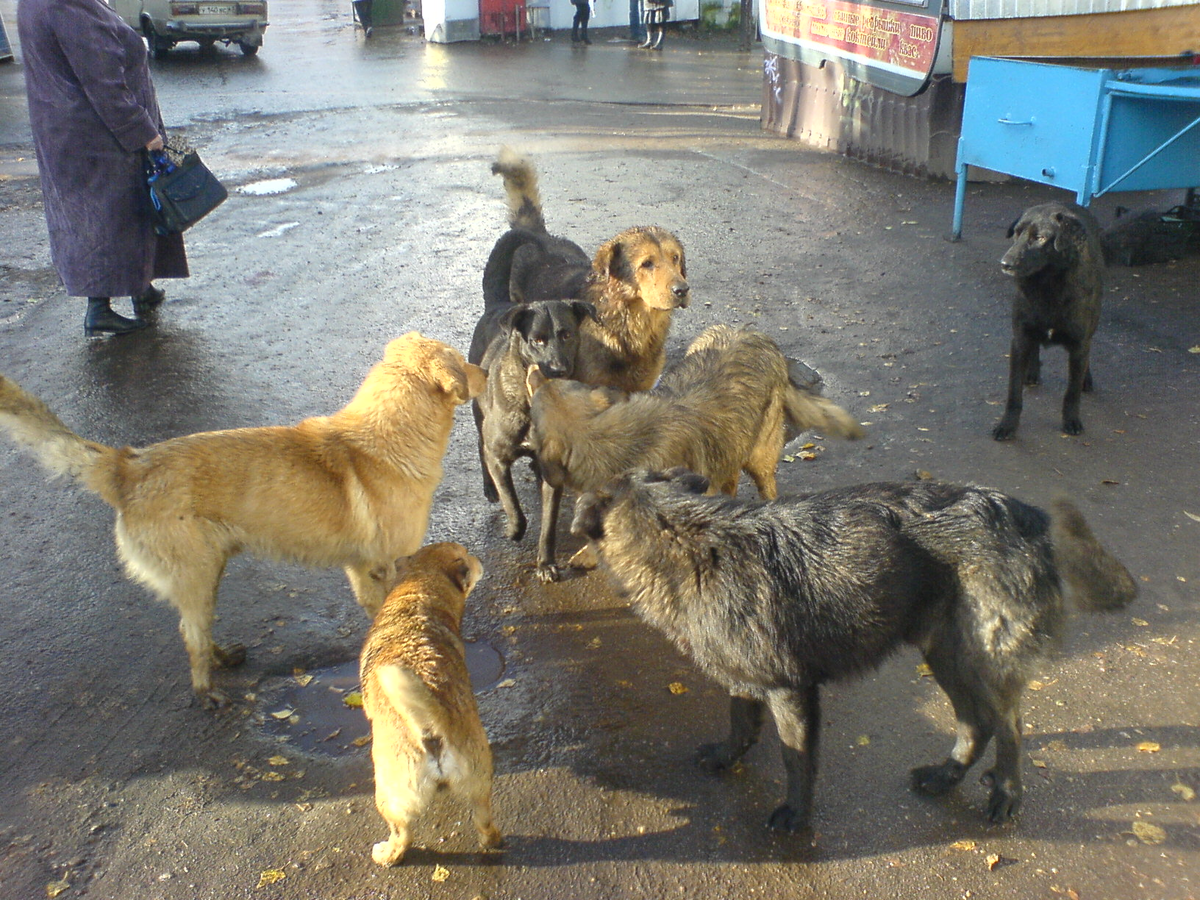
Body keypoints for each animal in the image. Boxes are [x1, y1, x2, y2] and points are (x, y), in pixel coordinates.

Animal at [1, 336, 487, 710]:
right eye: (460, 360)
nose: (483, 368)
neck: (384, 440)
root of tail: (128, 465)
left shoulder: (362, 568)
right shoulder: (379, 568)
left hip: (207, 571)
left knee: (195, 626)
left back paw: (221, 658)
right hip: (197, 572)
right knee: (191, 636)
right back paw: (206, 692)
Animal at [360, 542, 501, 868]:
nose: (478, 557)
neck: (419, 593)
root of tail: (430, 727)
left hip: (388, 796)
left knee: (402, 836)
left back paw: (386, 855)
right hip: (479, 782)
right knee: (484, 822)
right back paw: (492, 840)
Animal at [470, 303, 597, 554]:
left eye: (567, 335)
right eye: (537, 340)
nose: (559, 370)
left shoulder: (553, 470)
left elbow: (549, 523)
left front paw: (546, 560)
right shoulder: (498, 458)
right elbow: (512, 504)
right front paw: (514, 531)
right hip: (479, 412)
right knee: (480, 444)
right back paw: (489, 487)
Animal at [571, 468, 1132, 844]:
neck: (688, 537)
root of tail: (1026, 516)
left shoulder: (790, 690)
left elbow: (796, 759)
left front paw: (796, 815)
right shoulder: (744, 678)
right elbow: (740, 722)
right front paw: (728, 756)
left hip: (979, 658)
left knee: (1010, 727)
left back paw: (1006, 794)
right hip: (944, 655)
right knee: (977, 723)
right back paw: (944, 776)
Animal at [993, 204, 1104, 444]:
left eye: (1040, 238)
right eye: (1016, 233)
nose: (1005, 264)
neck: (1047, 287)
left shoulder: (1079, 344)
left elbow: (1071, 393)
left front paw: (1071, 420)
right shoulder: (1020, 339)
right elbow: (1013, 393)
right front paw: (1008, 425)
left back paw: (1086, 378)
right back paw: (1032, 371)